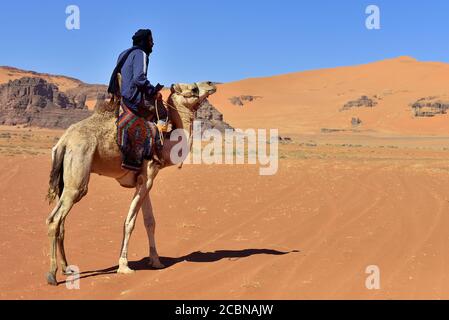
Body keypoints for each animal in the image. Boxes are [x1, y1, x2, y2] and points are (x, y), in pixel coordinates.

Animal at [44, 82, 216, 284]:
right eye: (194, 88)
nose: (211, 84)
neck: (165, 144)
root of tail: (64, 141)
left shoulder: (145, 180)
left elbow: (150, 221)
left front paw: (156, 261)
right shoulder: (147, 177)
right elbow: (129, 222)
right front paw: (124, 266)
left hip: (63, 181)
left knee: (61, 222)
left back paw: (66, 268)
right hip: (77, 177)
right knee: (55, 219)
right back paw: (52, 274)